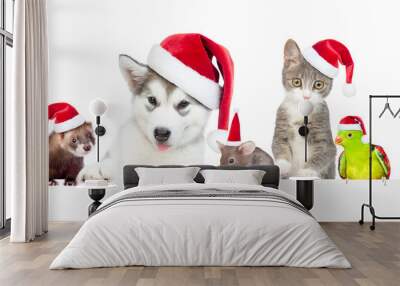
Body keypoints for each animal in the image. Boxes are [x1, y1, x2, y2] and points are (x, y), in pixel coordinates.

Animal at [274, 39, 336, 179]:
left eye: (318, 84)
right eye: (297, 82)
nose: (306, 96)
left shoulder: (324, 130)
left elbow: (323, 153)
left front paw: (307, 171)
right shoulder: (281, 122)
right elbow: (280, 145)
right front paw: (282, 166)